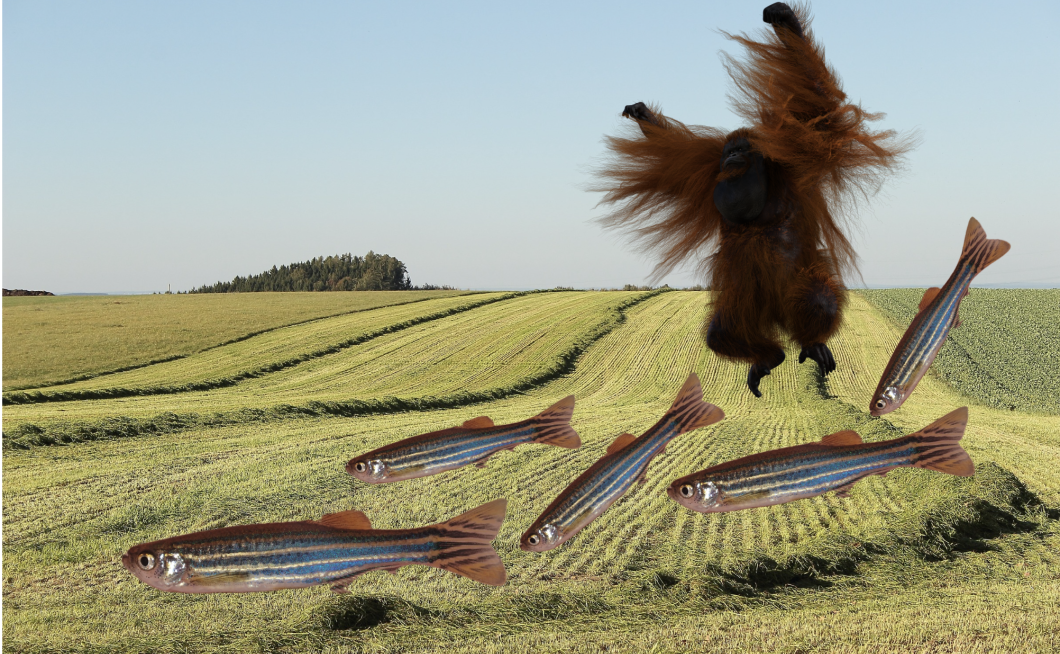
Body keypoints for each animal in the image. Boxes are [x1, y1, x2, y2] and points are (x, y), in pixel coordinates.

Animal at [596, 2, 915, 397]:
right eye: (729, 151)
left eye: (742, 150)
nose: (732, 156)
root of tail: (778, 317)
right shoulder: (706, 170)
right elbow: (674, 158)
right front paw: (642, 114)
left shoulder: (793, 156)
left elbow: (816, 106)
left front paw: (783, 19)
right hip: (747, 299)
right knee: (722, 332)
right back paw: (767, 357)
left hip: (796, 283)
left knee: (817, 300)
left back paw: (812, 342)